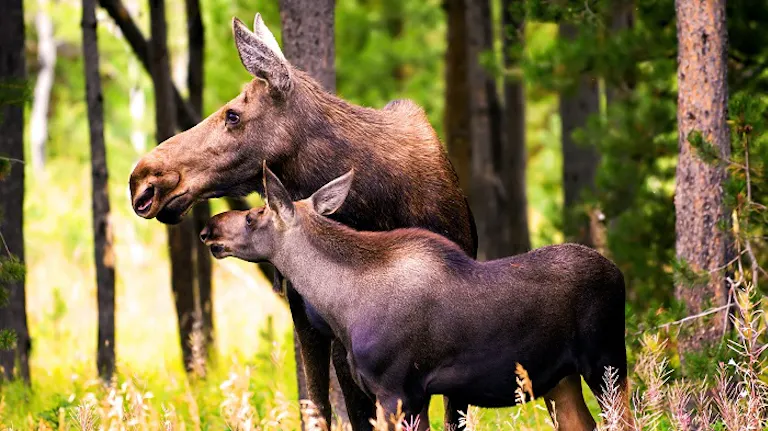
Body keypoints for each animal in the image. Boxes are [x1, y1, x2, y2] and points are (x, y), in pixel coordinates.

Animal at [200, 167, 631, 431]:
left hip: (607, 362)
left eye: (253, 216)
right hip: (561, 378)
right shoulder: (416, 395)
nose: (208, 228)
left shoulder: (395, 390)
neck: (342, 304)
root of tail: (619, 274)